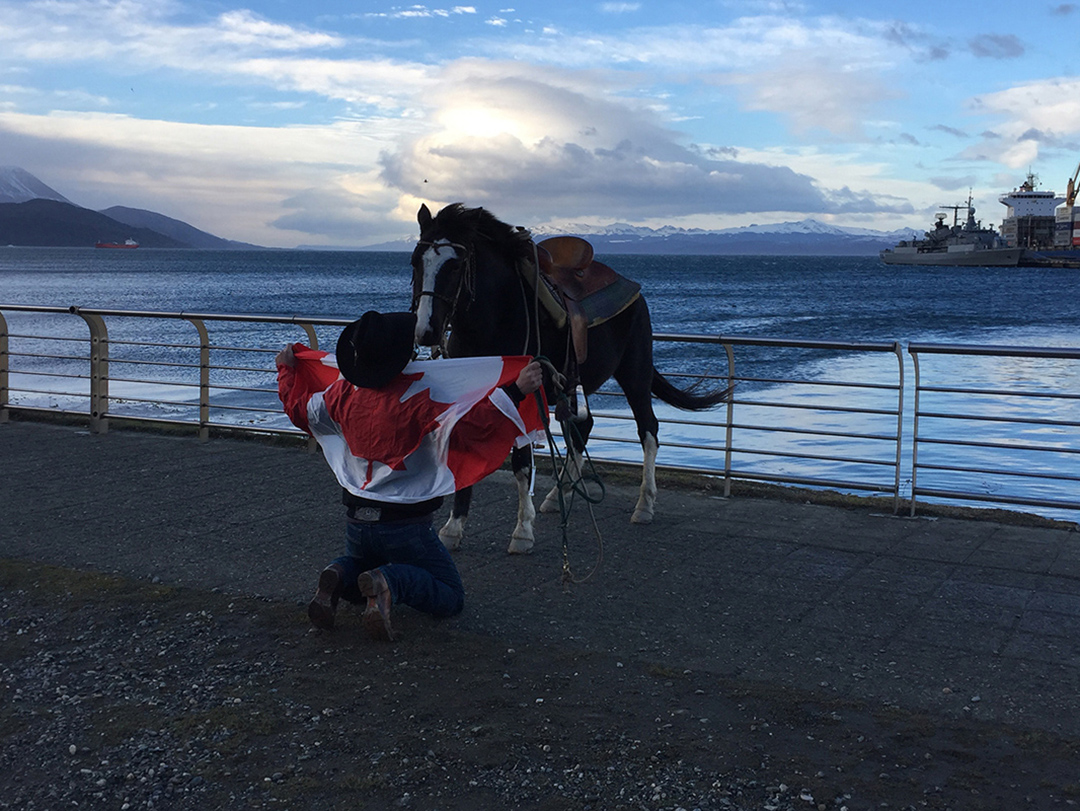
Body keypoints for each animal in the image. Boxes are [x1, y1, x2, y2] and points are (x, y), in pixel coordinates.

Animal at [408, 204, 730, 552]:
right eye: (415, 262)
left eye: (455, 265)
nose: (426, 331)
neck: (495, 318)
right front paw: (453, 528)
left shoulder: (524, 392)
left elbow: (522, 462)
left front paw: (523, 532)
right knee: (584, 427)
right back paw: (555, 495)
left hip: (635, 373)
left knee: (648, 429)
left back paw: (644, 505)